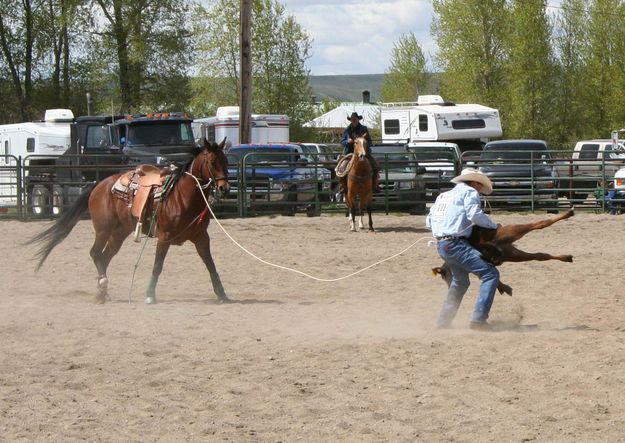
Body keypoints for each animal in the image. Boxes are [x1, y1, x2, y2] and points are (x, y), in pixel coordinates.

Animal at [28, 139, 230, 306]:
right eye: (213, 162)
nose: (224, 188)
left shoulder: (201, 237)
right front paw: (150, 295)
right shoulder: (164, 237)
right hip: (103, 230)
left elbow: (211, 265)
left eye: (226, 161)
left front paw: (222, 294)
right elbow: (158, 266)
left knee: (104, 257)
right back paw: (102, 286)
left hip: (119, 233)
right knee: (95, 253)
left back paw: (102, 292)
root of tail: (99, 184)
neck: (182, 196)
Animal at [432, 210, 572, 296]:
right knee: (540, 256)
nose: (449, 287)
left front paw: (503, 288)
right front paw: (504, 288)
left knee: (539, 224)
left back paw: (568, 213)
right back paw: (567, 257)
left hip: (511, 232)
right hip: (514, 254)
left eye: (445, 276)